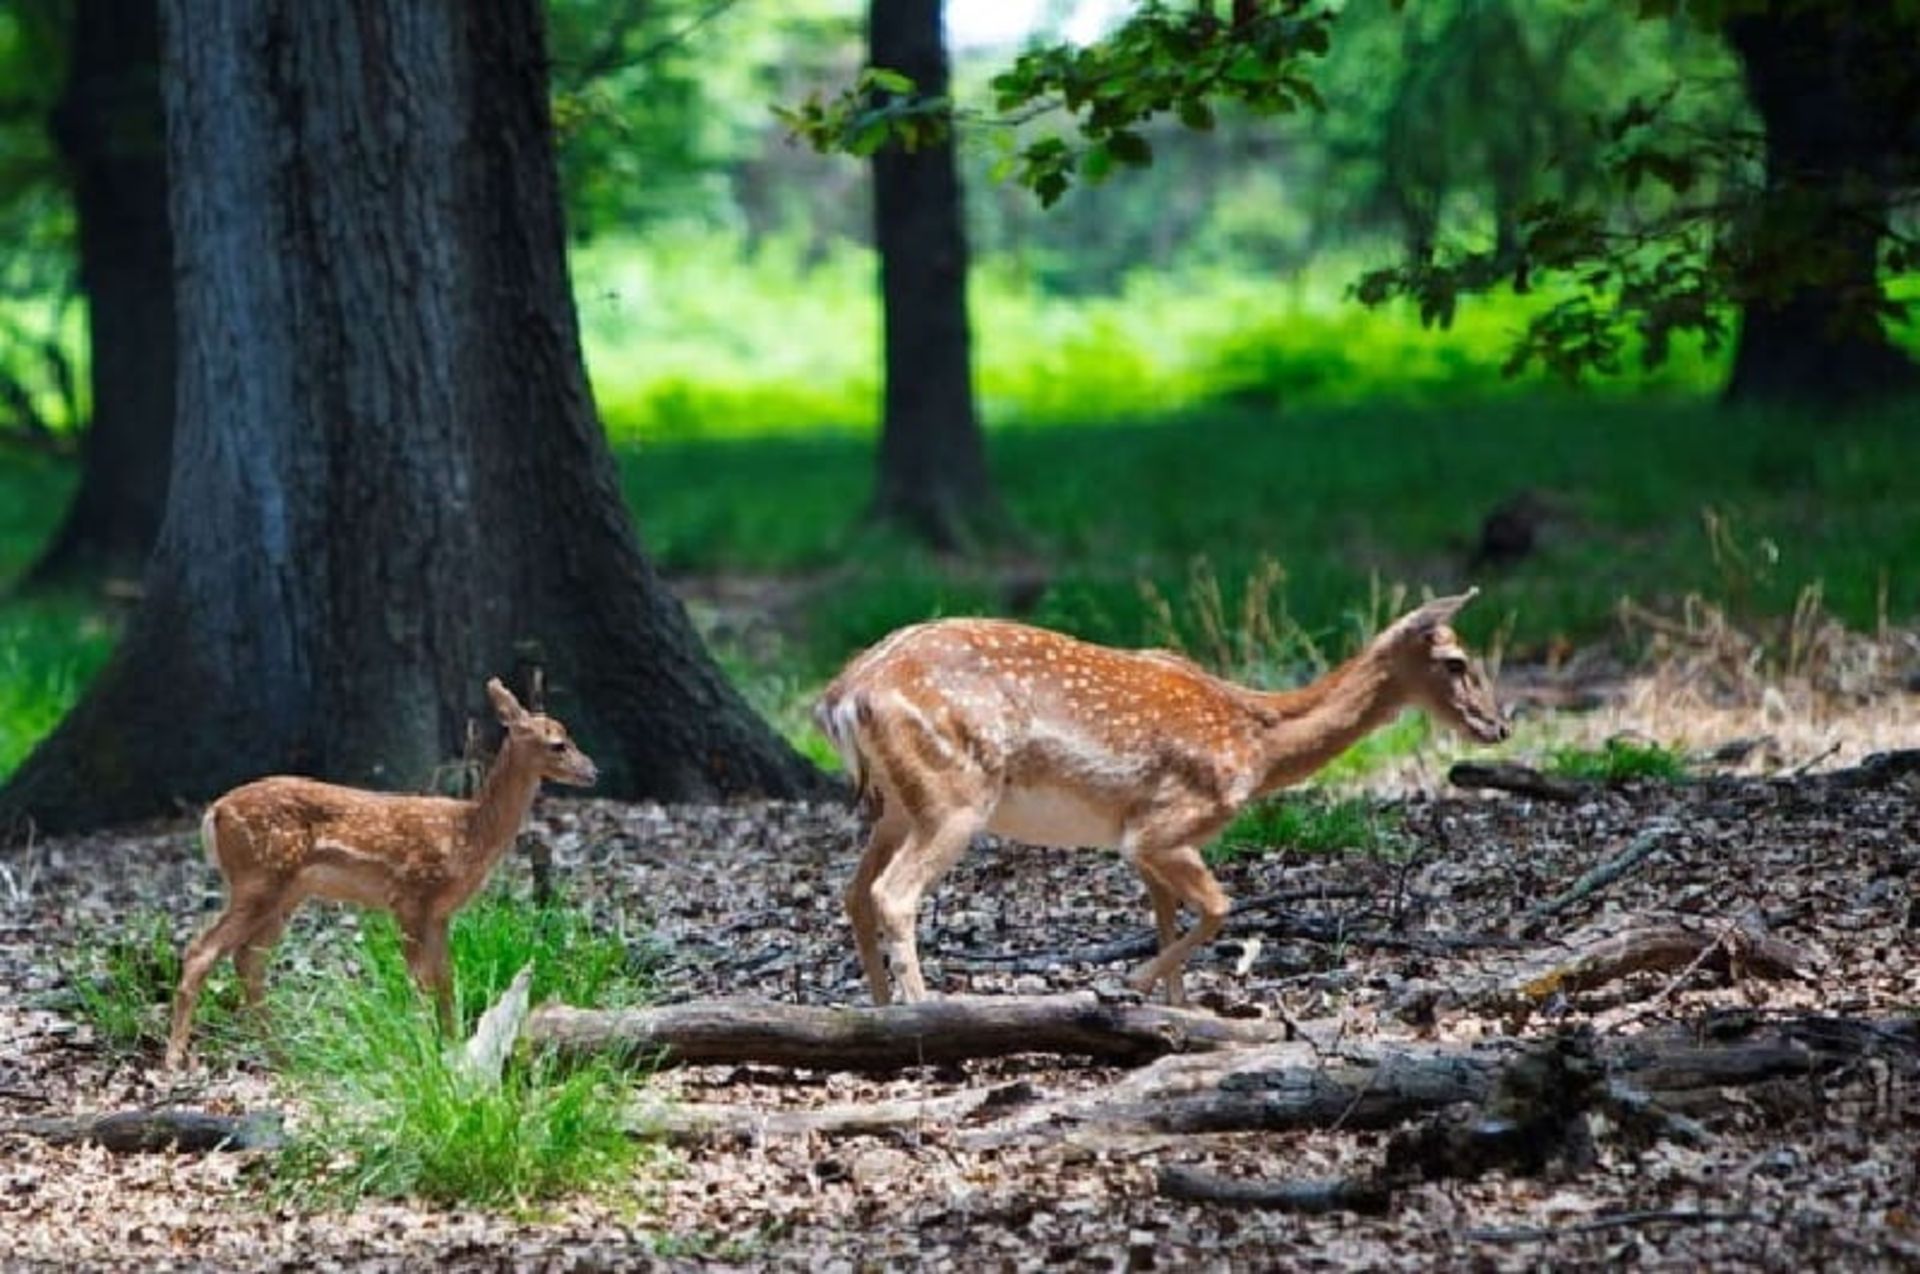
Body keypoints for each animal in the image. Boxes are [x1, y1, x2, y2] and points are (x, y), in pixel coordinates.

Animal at [165, 678, 597, 1070]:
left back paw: (285, 1058)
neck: (467, 834)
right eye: (557, 743)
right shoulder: (409, 897)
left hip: (284, 894)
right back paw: (175, 1059)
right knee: (201, 951)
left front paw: (453, 1048)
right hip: (258, 878)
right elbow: (421, 981)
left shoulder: (439, 912)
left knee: (247, 961)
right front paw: (426, 1052)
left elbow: (445, 980)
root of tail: (214, 812)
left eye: (568, 735)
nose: (592, 771)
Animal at [815, 589, 1508, 1009]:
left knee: (853, 891)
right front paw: (1127, 984)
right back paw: (923, 1009)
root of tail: (842, 696)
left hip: (897, 804)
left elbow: (1167, 916)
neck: (1257, 745)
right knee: (892, 893)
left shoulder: (1143, 840)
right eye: (1455, 661)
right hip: (955, 796)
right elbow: (1221, 907)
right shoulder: (1164, 824)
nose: (1499, 726)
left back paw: (879, 1010)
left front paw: (1174, 1011)